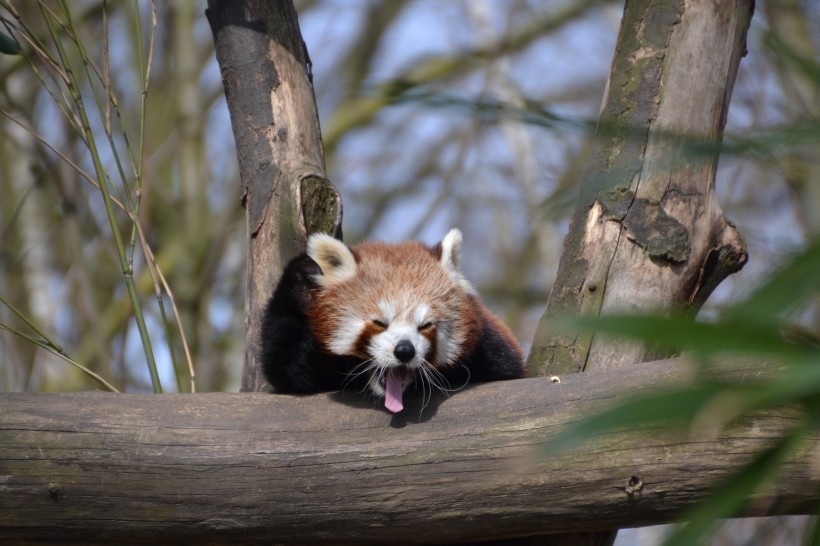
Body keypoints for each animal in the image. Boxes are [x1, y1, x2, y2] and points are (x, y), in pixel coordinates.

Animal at [260, 227, 524, 410]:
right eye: (379, 323)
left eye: (425, 326)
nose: (404, 351)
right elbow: (287, 369)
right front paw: (304, 275)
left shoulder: (490, 347)